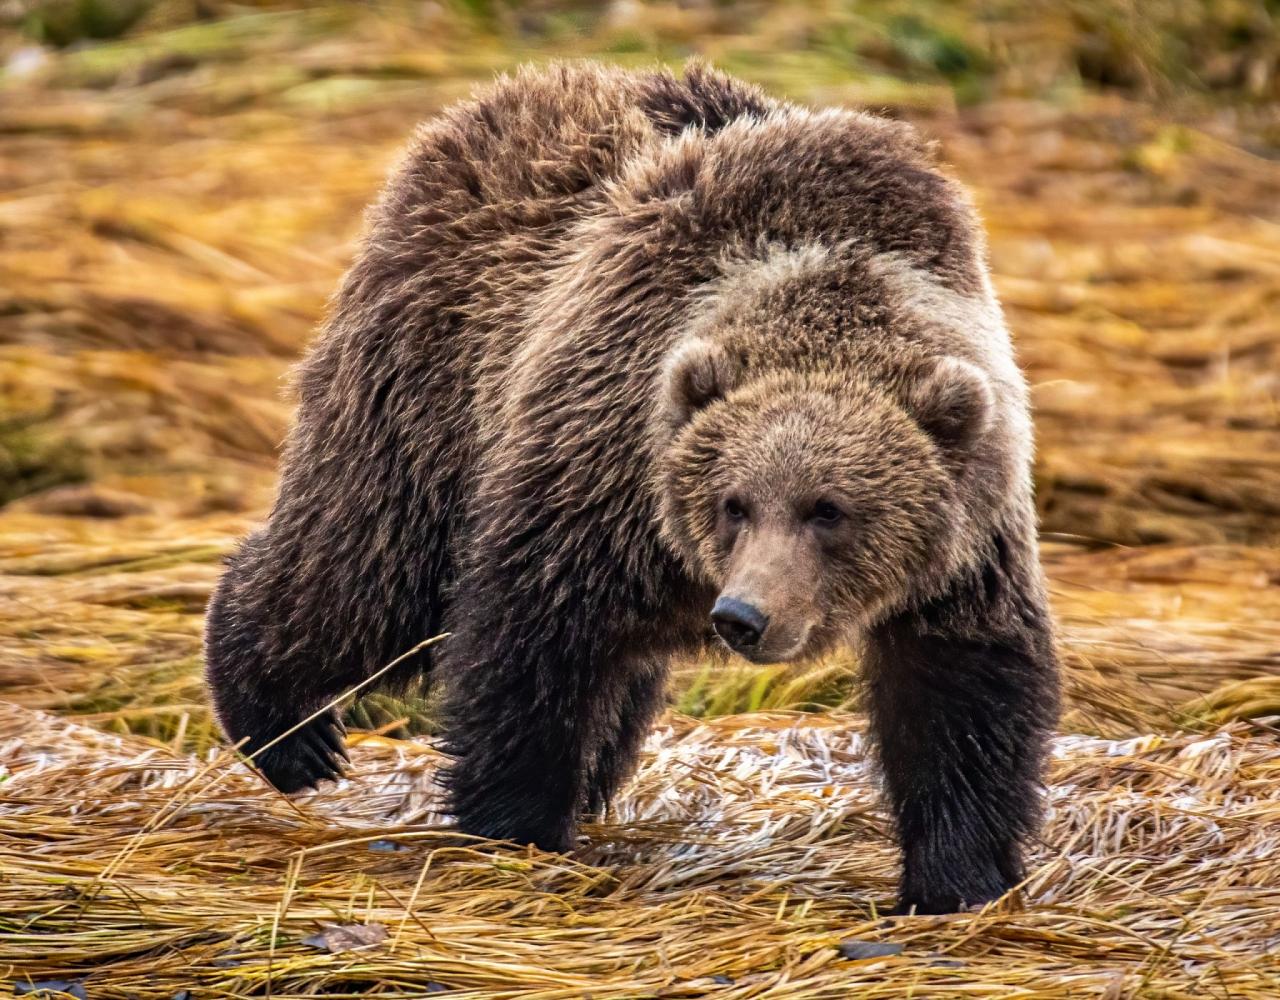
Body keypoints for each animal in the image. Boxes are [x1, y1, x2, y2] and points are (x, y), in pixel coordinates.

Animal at [202, 60, 1059, 911]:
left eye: (830, 510)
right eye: (734, 503)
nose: (744, 616)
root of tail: (494, 97)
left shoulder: (968, 542)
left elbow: (962, 690)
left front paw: (959, 879)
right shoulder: (598, 465)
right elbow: (533, 648)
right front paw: (517, 826)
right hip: (430, 373)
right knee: (368, 568)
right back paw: (290, 732)